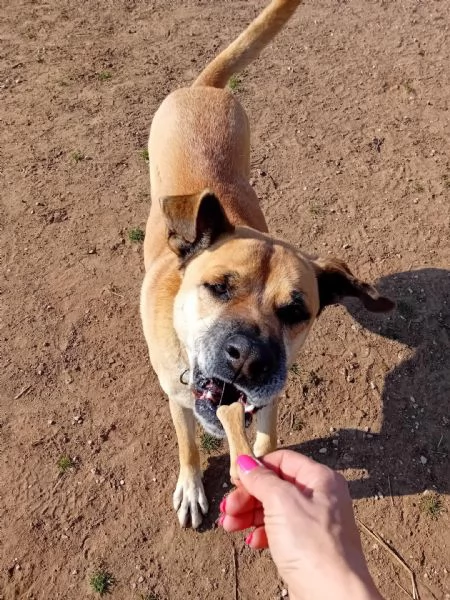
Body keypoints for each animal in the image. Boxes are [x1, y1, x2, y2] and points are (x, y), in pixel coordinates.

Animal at [141, 0, 394, 528]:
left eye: (295, 312)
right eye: (218, 287)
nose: (248, 358)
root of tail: (205, 87)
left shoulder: (267, 396)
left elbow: (266, 437)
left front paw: (262, 465)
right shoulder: (177, 397)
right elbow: (188, 446)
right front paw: (192, 486)